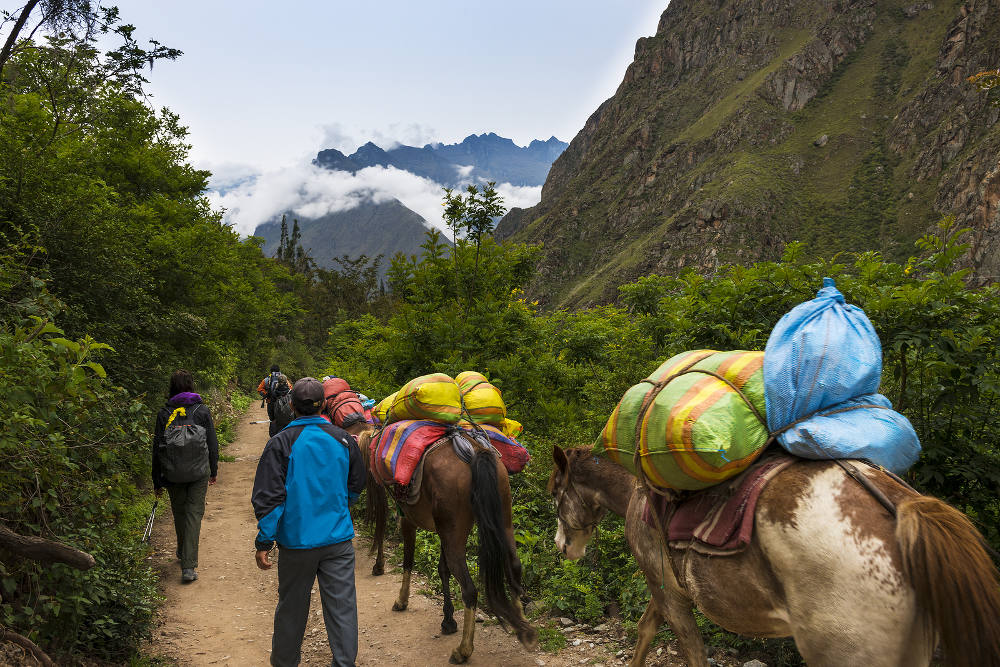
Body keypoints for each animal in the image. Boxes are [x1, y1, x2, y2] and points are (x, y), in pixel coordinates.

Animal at [360, 430, 540, 664]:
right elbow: (442, 569)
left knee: (470, 590)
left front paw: (401, 600)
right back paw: (523, 627)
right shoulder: (443, 531)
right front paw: (448, 620)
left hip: (455, 532)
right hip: (503, 521)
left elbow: (408, 559)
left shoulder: (408, 519)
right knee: (514, 567)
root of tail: (475, 452)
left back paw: (463, 650)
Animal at [548, 446, 1000, 667]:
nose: (561, 546)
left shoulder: (669, 594)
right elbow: (644, 630)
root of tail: (903, 507)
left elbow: (687, 650)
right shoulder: (666, 591)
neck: (637, 495)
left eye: (555, 492)